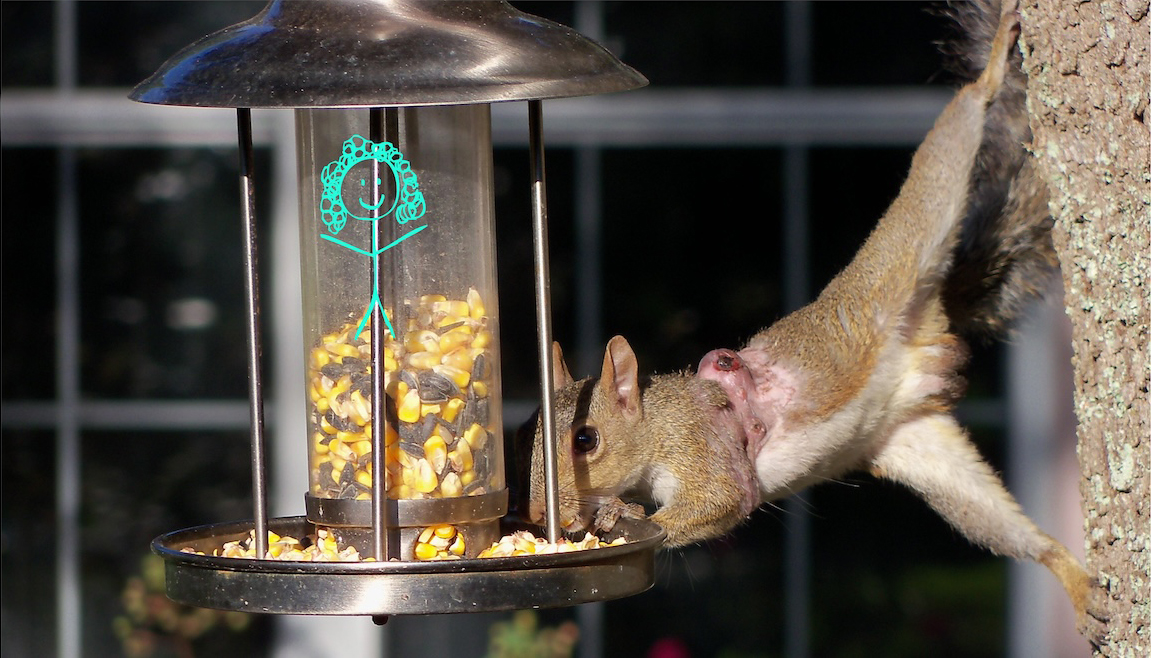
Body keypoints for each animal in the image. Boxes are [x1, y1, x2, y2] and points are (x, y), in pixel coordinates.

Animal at [517, 0, 1107, 640]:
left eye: (586, 439)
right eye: (528, 432)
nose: (537, 513)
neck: (657, 422)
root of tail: (927, 338)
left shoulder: (702, 452)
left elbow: (720, 502)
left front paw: (624, 513)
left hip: (904, 248)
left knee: (954, 139)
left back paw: (994, 66)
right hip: (925, 454)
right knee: (1006, 529)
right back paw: (1074, 580)